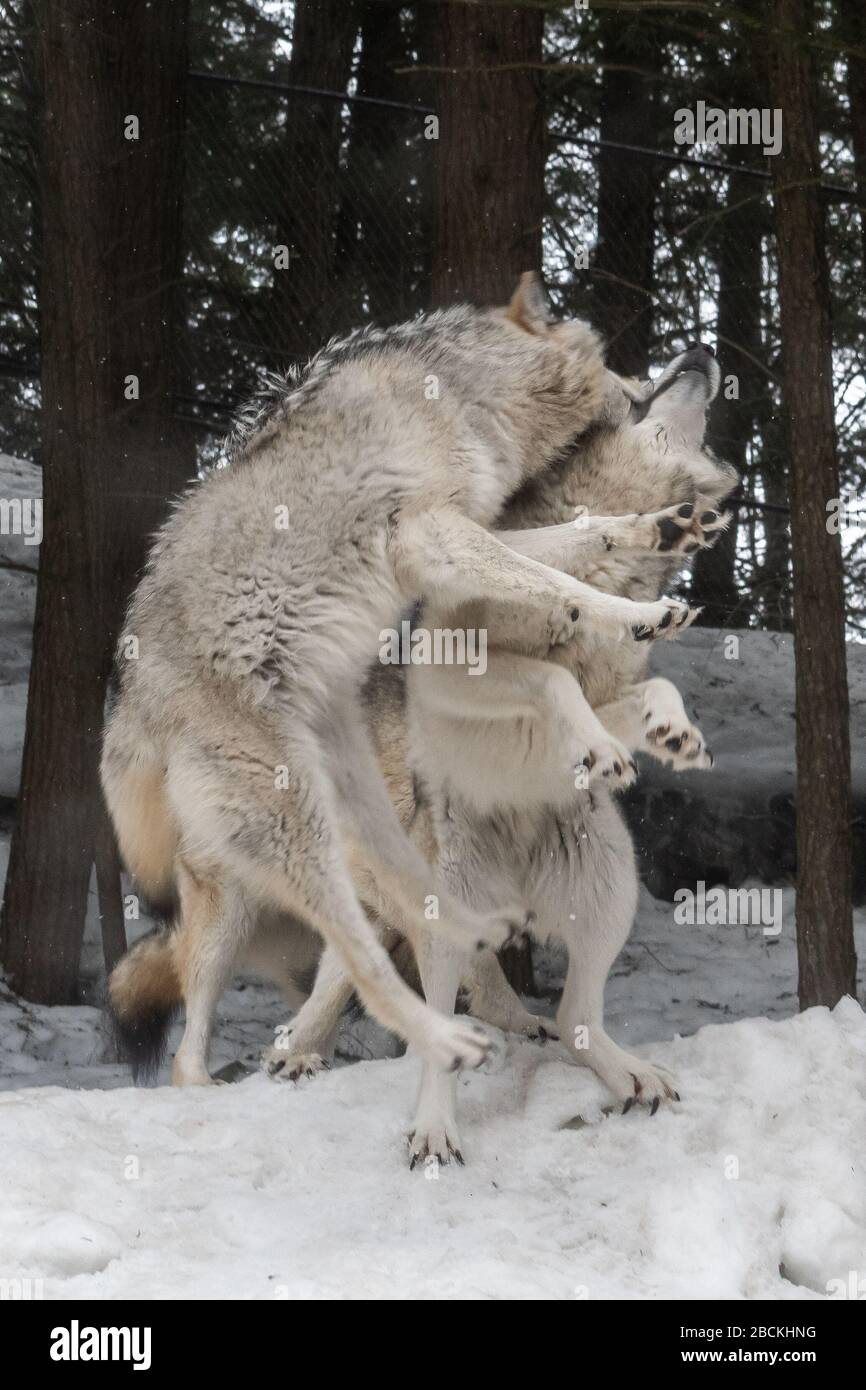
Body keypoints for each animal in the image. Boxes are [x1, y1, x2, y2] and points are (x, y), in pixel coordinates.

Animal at [102, 274, 696, 1088]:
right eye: (615, 360)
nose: (658, 377)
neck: (467, 394)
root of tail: (134, 699)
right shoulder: (434, 534)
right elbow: (553, 581)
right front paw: (637, 613)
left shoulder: (460, 535)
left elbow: (573, 541)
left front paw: (651, 529)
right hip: (283, 855)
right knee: (296, 994)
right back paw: (434, 1044)